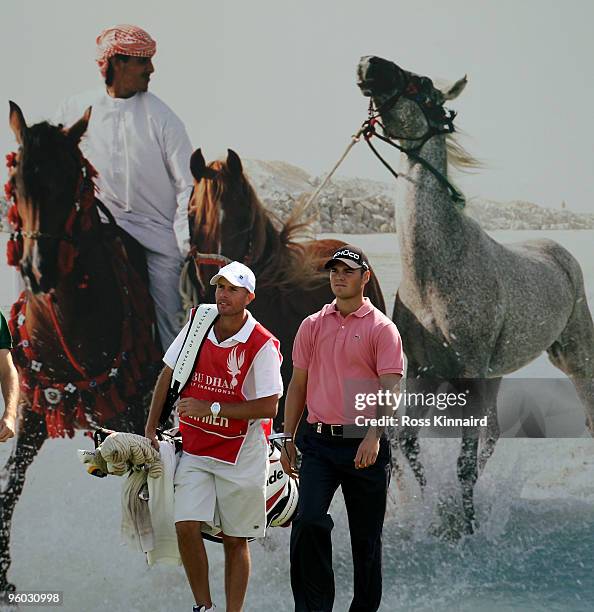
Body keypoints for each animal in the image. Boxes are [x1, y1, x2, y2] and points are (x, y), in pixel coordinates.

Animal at [0, 103, 160, 592]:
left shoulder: (132, 413)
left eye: (71, 179)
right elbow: (11, 485)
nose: (39, 270)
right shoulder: (36, 409)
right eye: (17, 183)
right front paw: (3, 573)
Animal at [354, 56, 592, 536]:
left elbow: (463, 461)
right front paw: (435, 514)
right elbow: (407, 443)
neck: (436, 271)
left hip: (573, 355)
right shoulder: (424, 373)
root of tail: (558, 251)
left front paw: (463, 526)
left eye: (421, 84)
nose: (369, 64)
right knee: (494, 434)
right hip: (496, 374)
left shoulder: (468, 372)